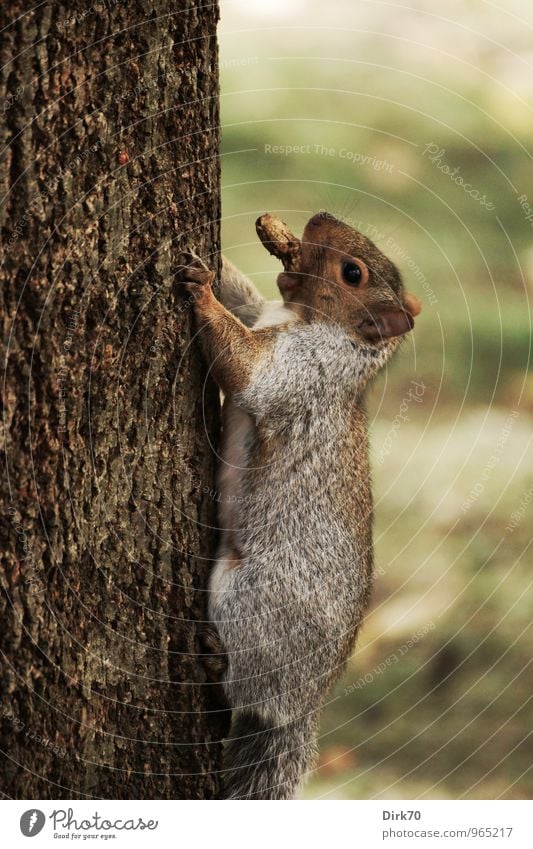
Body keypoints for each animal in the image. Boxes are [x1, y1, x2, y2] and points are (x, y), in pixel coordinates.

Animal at [179, 210, 420, 796]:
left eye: (352, 273)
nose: (318, 216)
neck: (306, 319)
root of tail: (301, 707)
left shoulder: (300, 371)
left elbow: (245, 367)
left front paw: (200, 292)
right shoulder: (261, 312)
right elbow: (241, 298)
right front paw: (214, 269)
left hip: (252, 603)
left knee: (242, 687)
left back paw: (216, 665)